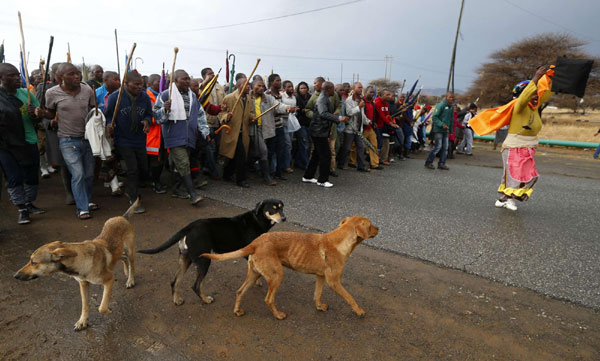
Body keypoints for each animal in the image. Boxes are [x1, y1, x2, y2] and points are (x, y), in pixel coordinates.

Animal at [14, 200, 139, 330]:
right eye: (30, 261)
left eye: (34, 262)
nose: (15, 276)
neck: (80, 260)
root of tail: (122, 217)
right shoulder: (83, 284)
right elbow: (85, 305)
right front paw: (83, 321)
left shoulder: (109, 279)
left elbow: (102, 307)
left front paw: (109, 310)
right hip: (119, 252)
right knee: (123, 258)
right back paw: (126, 271)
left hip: (130, 251)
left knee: (132, 264)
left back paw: (130, 280)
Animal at [139, 198, 284, 306]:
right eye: (273, 209)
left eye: (282, 207)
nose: (284, 218)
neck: (257, 219)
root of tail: (189, 227)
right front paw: (258, 281)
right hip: (204, 260)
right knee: (196, 286)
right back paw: (206, 299)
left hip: (185, 258)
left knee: (174, 282)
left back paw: (177, 300)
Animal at [202, 215, 380, 316]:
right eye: (370, 225)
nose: (379, 229)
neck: (339, 242)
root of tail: (255, 242)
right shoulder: (334, 281)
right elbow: (350, 298)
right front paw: (359, 311)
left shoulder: (320, 277)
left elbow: (317, 295)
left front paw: (319, 306)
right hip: (277, 275)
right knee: (268, 299)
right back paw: (278, 315)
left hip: (254, 274)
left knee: (240, 291)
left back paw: (237, 311)